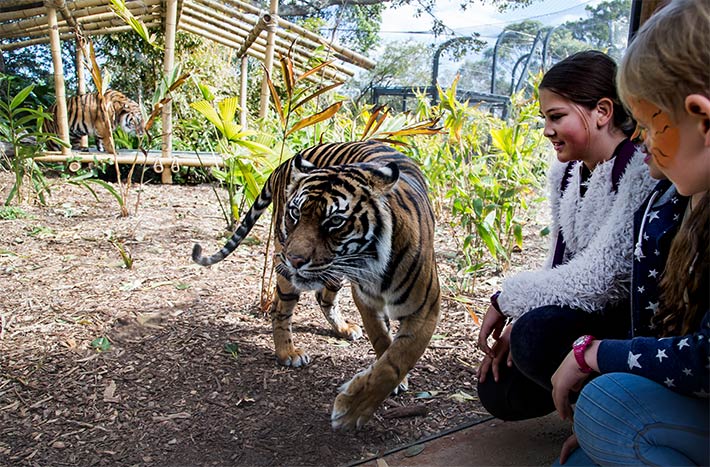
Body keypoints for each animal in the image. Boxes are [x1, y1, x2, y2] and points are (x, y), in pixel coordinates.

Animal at [192, 141, 442, 430]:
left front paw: (355, 406)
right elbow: (382, 341)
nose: (294, 260)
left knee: (323, 298)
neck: (374, 264)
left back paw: (343, 329)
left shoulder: (425, 309)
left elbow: (397, 358)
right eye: (295, 213)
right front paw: (353, 409)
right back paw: (288, 352)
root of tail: (287, 161)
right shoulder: (366, 300)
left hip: (330, 274)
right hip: (287, 262)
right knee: (281, 306)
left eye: (335, 221)